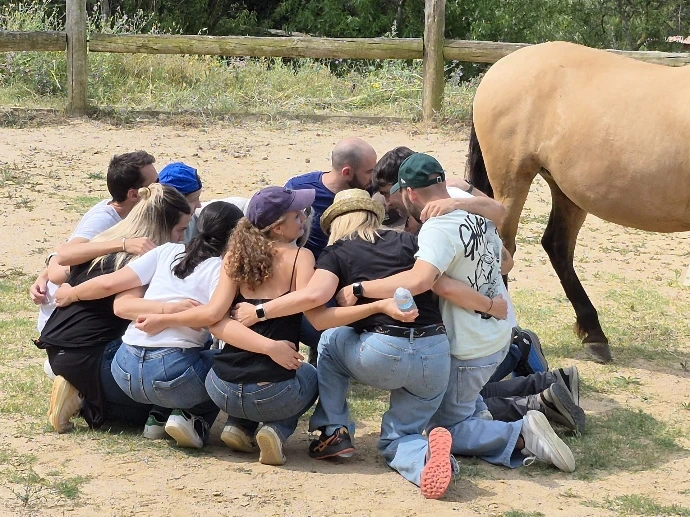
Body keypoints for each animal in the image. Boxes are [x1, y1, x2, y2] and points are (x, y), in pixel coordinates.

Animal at [466, 41, 690, 363]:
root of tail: (499, 67)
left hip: (565, 190)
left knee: (557, 246)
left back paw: (595, 334)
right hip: (512, 180)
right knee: (503, 245)